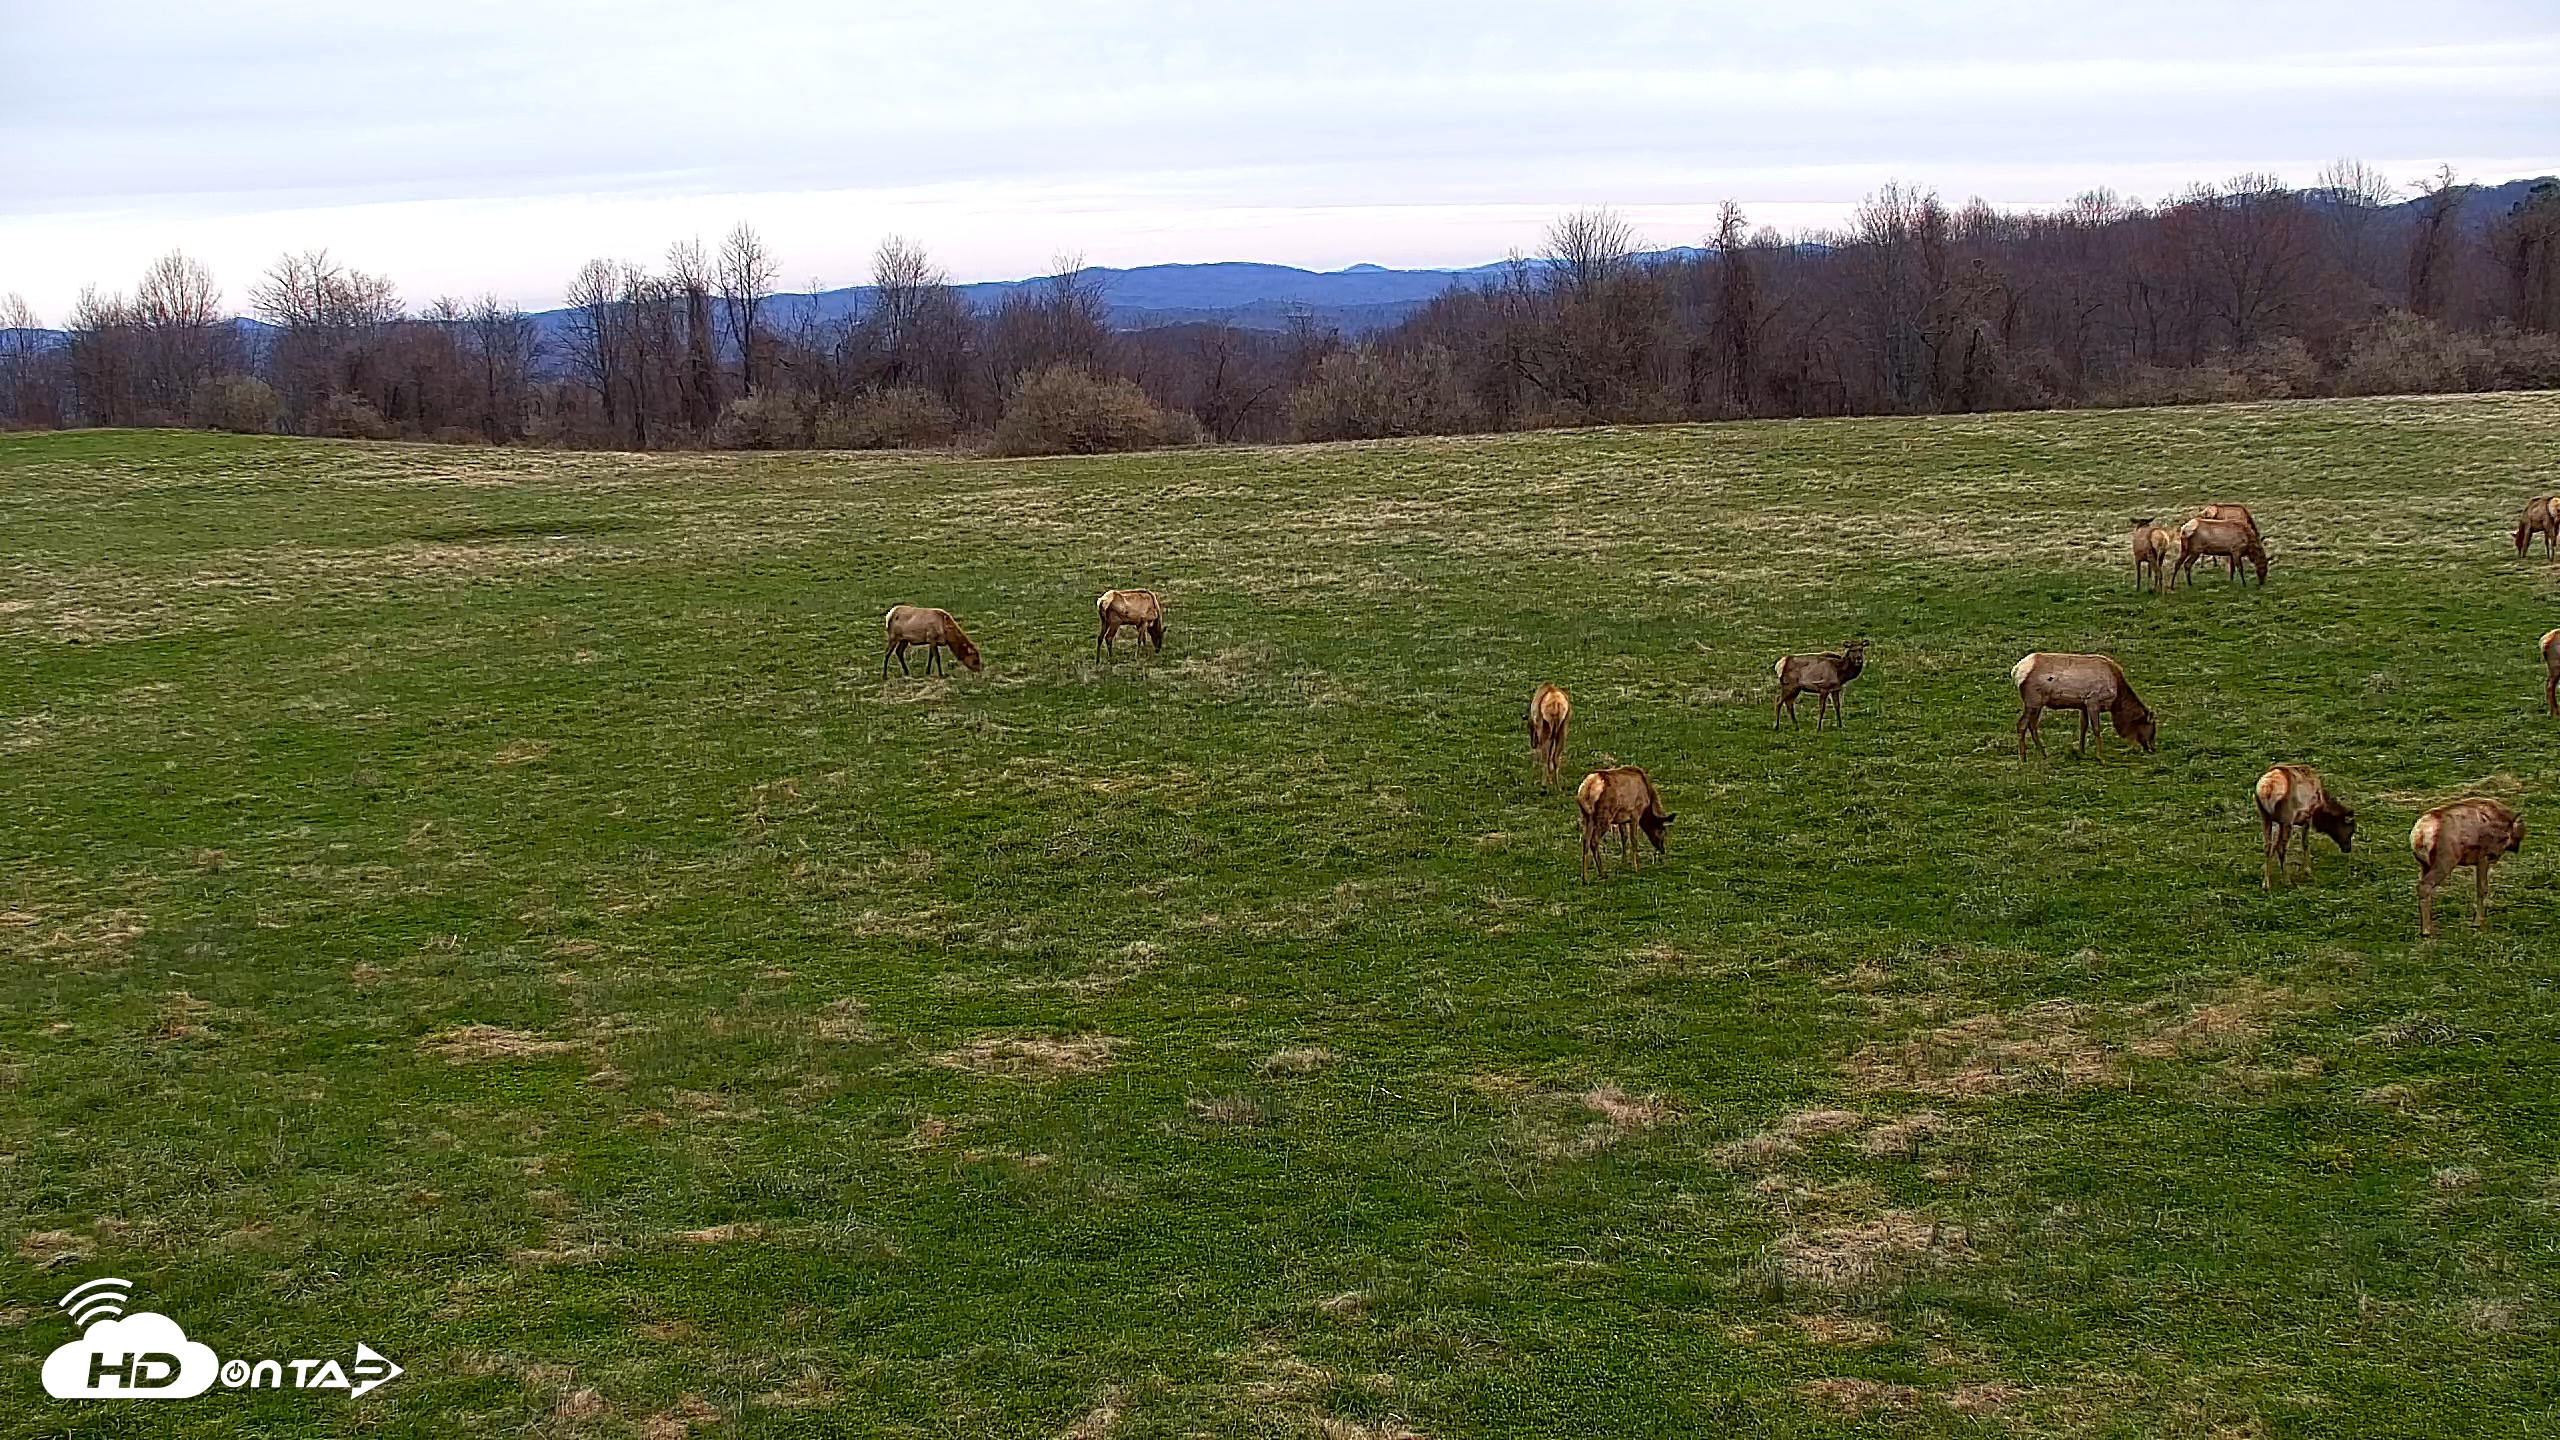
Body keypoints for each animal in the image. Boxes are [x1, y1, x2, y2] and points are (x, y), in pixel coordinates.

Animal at [2012, 652, 2157, 759]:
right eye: (2152, 729)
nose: (2152, 748)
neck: (2117, 699)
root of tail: (2016, 671)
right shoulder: (2093, 701)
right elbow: (2096, 729)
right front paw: (2100, 756)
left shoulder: (2083, 704)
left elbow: (2083, 726)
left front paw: (2082, 751)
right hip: (2033, 700)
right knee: (2022, 724)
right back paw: (2023, 758)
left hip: (2037, 703)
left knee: (2032, 725)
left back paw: (2043, 754)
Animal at [2411, 798, 2525, 937]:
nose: (2516, 847)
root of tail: (2419, 835)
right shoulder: (2484, 856)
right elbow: (2482, 889)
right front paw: (2477, 922)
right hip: (2445, 861)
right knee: (2424, 886)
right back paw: (2427, 931)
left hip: (2424, 864)